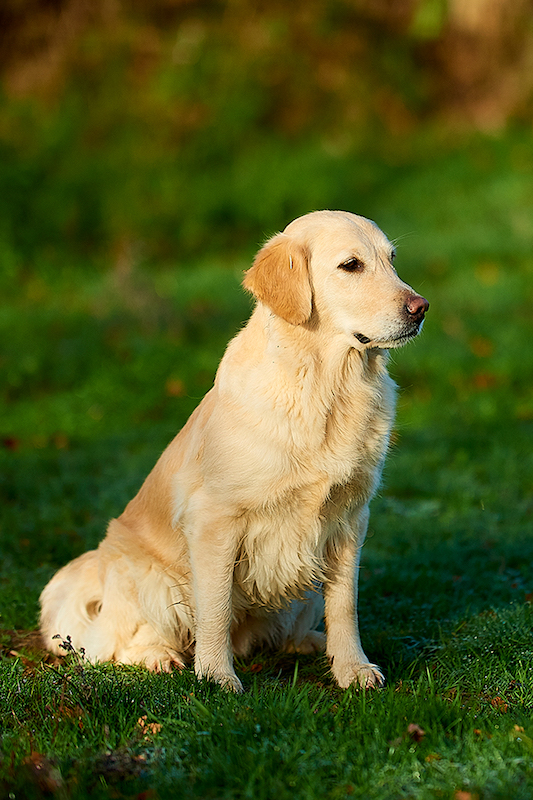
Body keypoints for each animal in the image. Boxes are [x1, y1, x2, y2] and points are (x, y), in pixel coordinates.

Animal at [39, 209, 426, 692]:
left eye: (392, 260)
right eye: (351, 265)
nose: (421, 308)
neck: (327, 387)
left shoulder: (350, 517)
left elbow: (344, 605)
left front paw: (352, 668)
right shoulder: (214, 520)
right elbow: (216, 608)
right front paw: (216, 676)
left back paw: (309, 643)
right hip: (153, 580)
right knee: (111, 644)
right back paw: (159, 657)